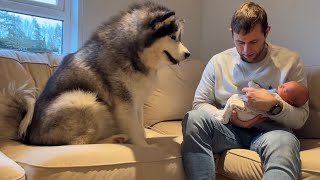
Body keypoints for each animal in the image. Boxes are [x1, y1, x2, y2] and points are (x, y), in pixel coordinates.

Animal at [0, 1, 190, 146]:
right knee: (81, 143)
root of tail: (28, 135)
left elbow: (140, 124)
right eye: (173, 37)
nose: (188, 54)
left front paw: (144, 140)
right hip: (83, 99)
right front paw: (145, 147)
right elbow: (135, 128)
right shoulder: (126, 103)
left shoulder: (137, 101)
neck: (134, 53)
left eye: (179, 37)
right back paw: (115, 139)